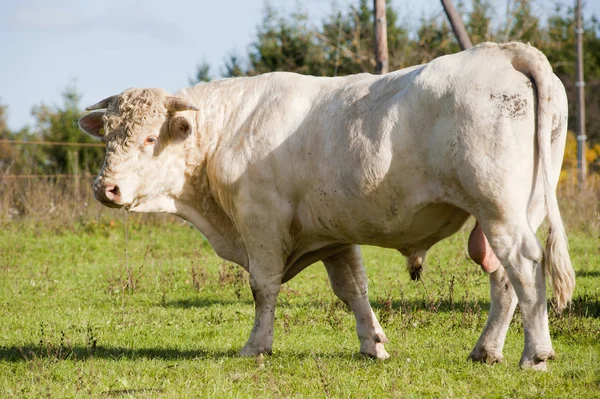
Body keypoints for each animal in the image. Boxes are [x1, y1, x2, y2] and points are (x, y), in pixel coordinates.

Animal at [77, 42, 576, 370]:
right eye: (108, 136)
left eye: (148, 138)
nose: (106, 188)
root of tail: (505, 51)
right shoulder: (334, 235)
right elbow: (353, 289)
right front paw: (373, 344)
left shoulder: (260, 221)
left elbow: (263, 287)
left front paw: (256, 346)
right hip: (514, 212)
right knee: (504, 278)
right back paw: (486, 350)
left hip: (499, 207)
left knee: (524, 266)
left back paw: (535, 354)